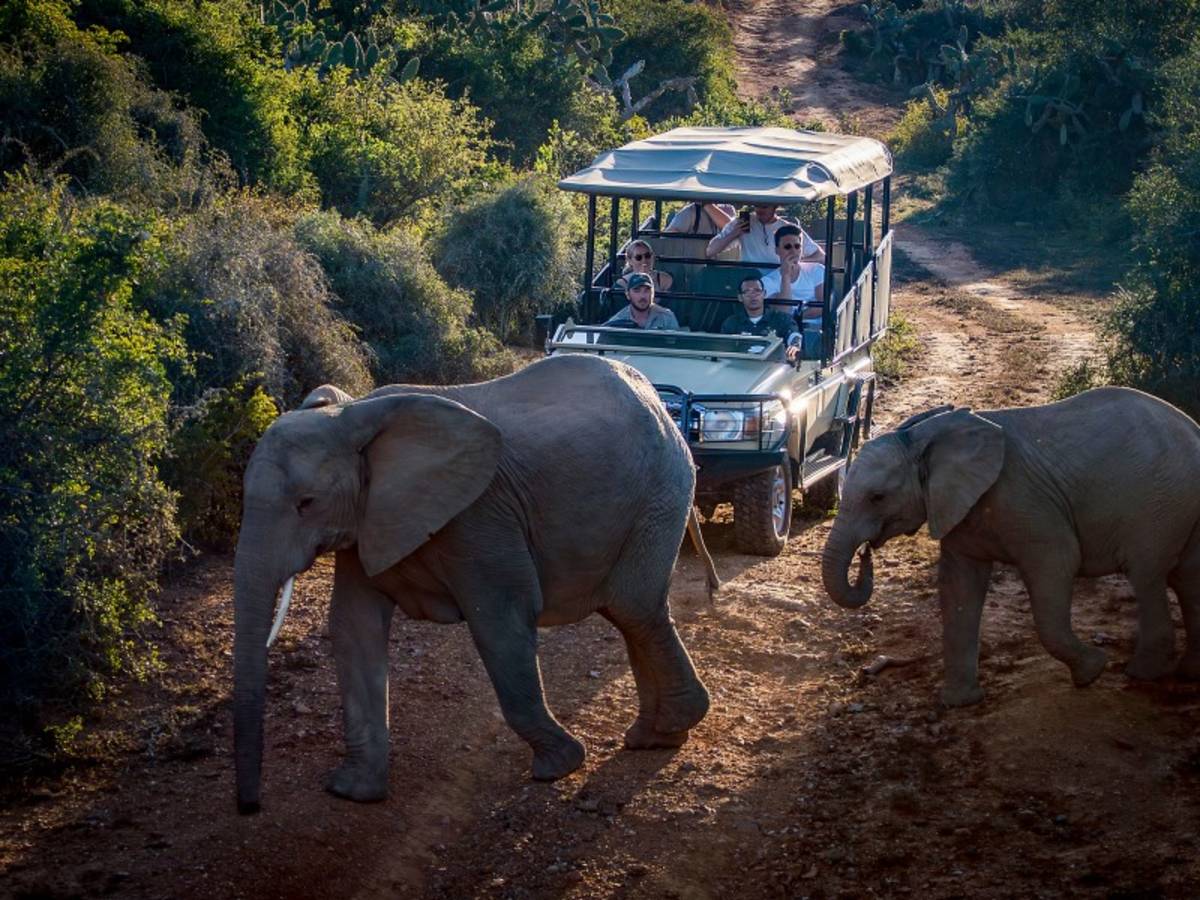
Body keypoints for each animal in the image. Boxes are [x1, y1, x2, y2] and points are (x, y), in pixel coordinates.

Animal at [233, 354, 717, 814]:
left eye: (307, 503)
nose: (250, 808)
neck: (352, 413)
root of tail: (656, 399)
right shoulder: (369, 520)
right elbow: (354, 627)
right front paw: (352, 792)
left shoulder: (478, 516)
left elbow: (500, 622)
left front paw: (559, 766)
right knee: (628, 614)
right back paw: (653, 738)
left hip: (661, 491)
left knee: (635, 607)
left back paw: (669, 727)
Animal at [822, 387, 1200, 707]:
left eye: (877, 497)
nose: (866, 553)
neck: (923, 437)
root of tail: (1192, 427)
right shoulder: (960, 507)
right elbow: (959, 587)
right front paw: (960, 703)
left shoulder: (1024, 500)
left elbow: (1058, 561)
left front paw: (1092, 672)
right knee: (1187, 579)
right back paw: (1187, 673)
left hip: (1158, 503)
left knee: (1148, 574)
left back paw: (1142, 674)